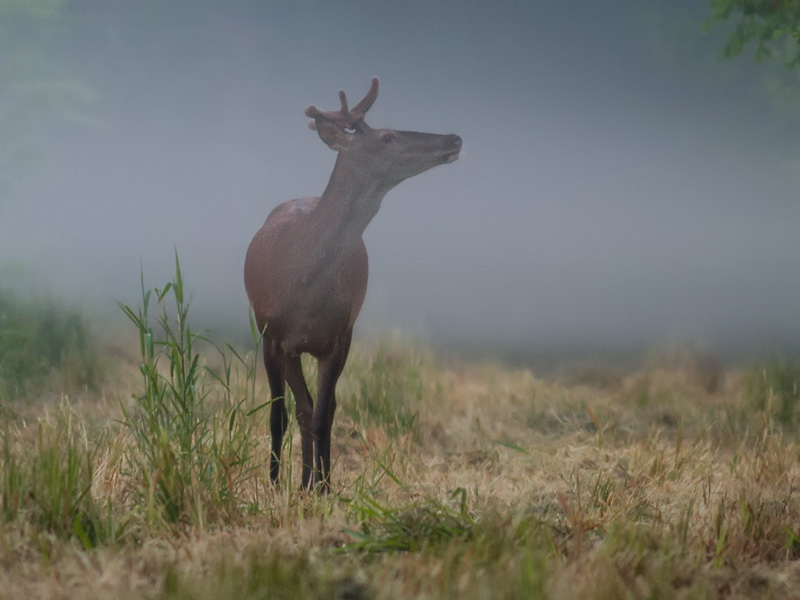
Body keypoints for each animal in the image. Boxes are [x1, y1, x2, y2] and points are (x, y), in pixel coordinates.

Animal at [242, 78, 462, 492]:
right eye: (388, 136)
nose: (454, 138)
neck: (304, 282)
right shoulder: (272, 333)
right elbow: (281, 414)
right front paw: (277, 485)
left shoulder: (339, 336)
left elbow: (322, 414)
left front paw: (324, 487)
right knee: (296, 408)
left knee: (319, 408)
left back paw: (311, 481)